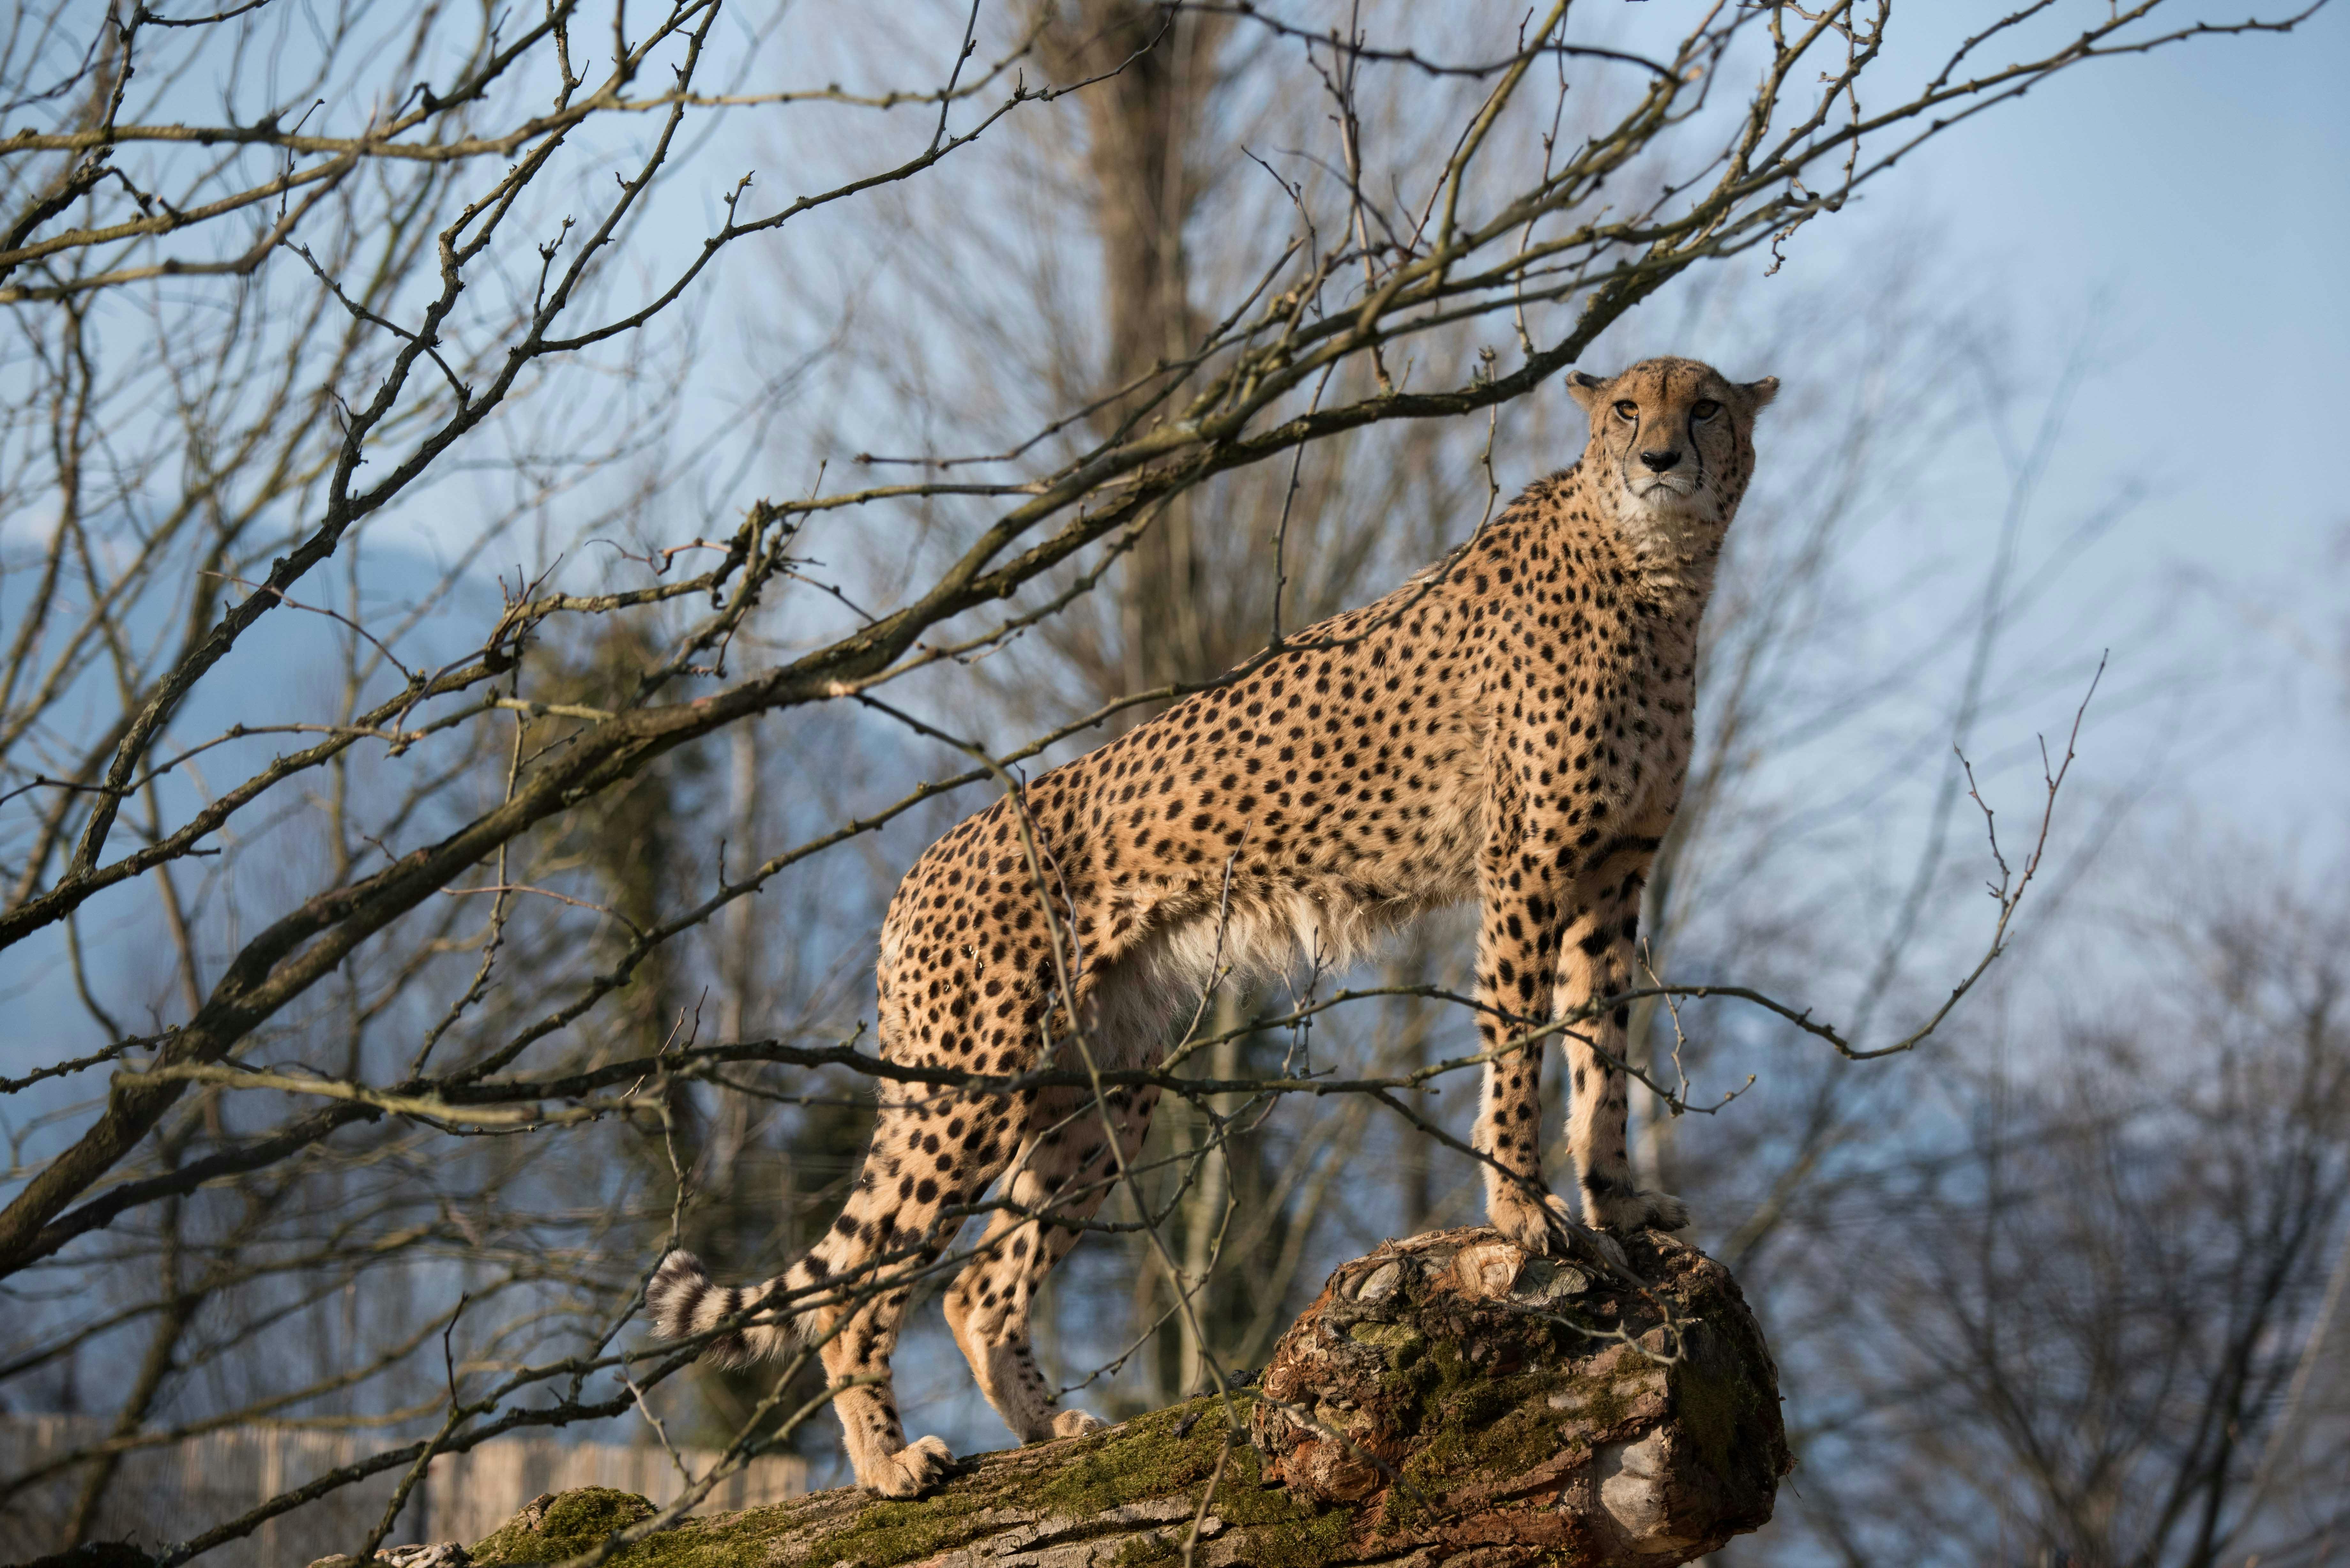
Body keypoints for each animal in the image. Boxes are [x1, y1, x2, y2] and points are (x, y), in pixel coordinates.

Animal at [648, 355, 1777, 1495]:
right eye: (1626, 410)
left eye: (1705, 408)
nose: (1659, 459)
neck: (1655, 574)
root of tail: (924, 864)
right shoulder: (1528, 867)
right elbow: (1520, 1050)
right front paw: (1522, 1212)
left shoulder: (1614, 874)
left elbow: (1603, 1054)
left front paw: (1618, 1204)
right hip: (971, 1081)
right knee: (857, 1290)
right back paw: (887, 1462)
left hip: (1102, 1088)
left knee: (979, 1283)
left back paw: (1049, 1428)